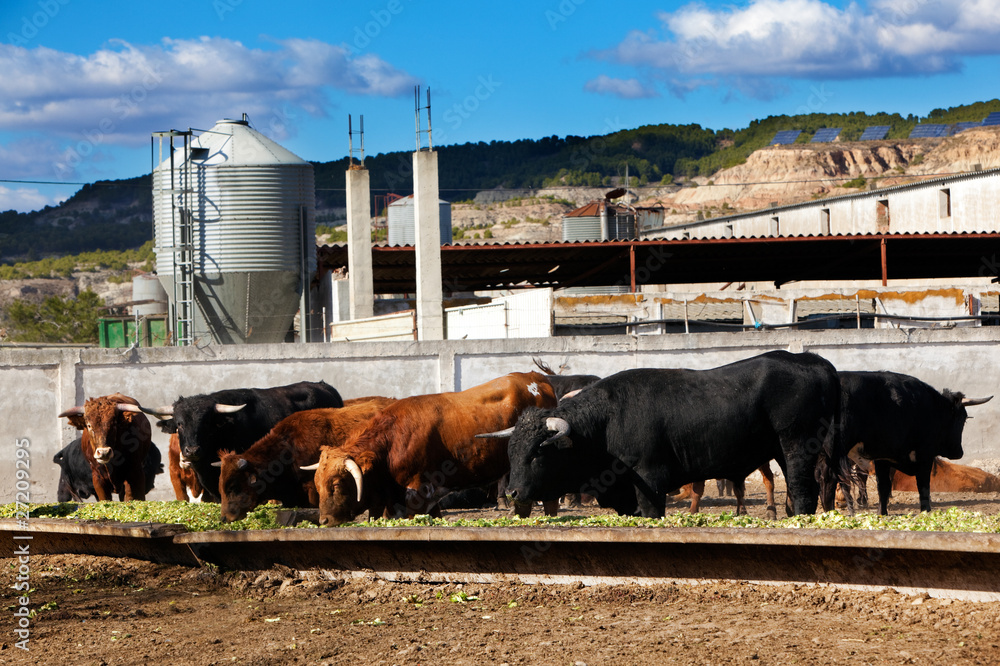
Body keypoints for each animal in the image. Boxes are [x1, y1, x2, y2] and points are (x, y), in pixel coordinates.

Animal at [312, 374, 560, 524]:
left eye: (336, 484)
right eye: (317, 483)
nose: (324, 521)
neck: (392, 441)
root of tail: (536, 378)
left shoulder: (416, 494)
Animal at [500, 350, 844, 516]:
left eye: (537, 453)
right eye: (511, 452)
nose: (512, 493)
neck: (607, 421)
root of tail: (811, 360)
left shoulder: (650, 482)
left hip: (797, 446)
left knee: (803, 490)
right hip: (783, 451)